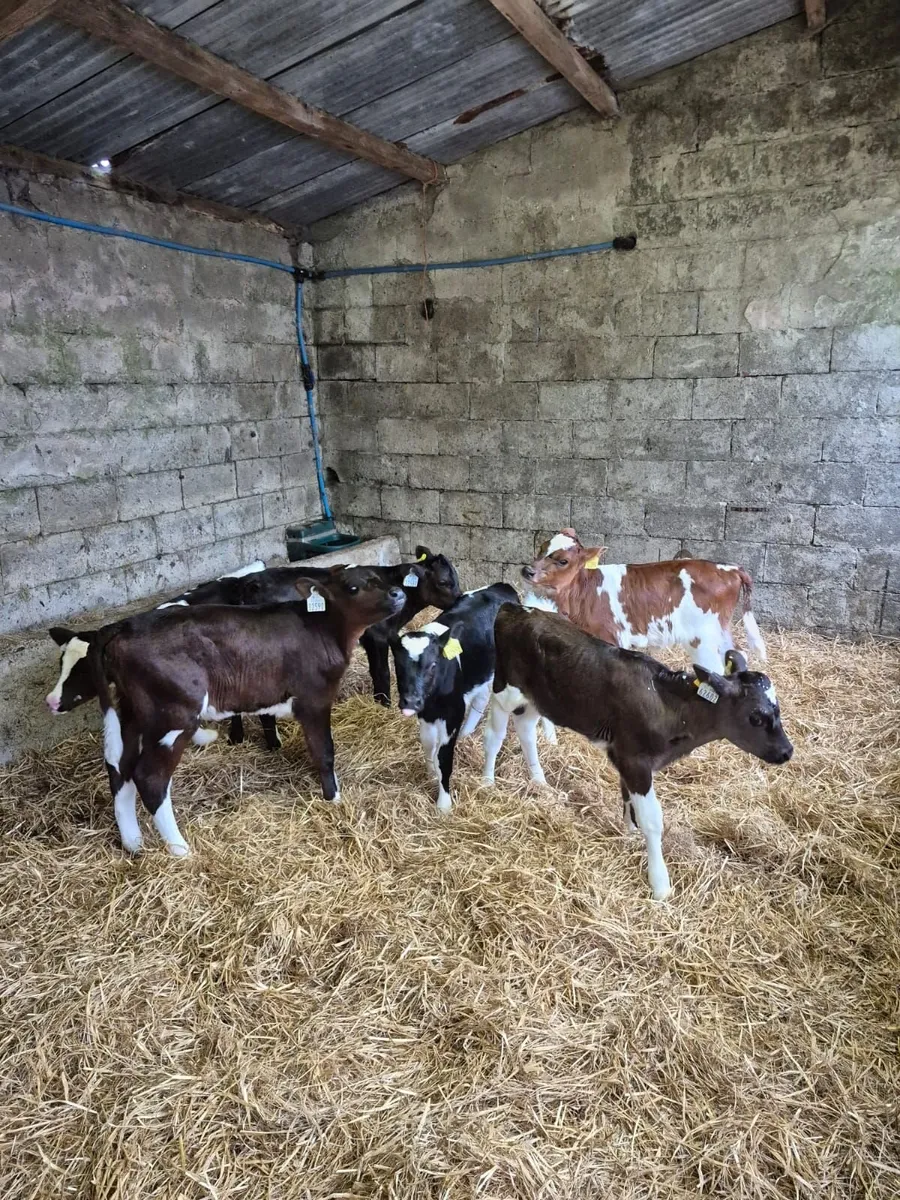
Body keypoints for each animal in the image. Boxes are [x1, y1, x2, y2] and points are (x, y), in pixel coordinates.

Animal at [65, 567, 405, 856]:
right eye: (352, 587)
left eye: (379, 578)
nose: (398, 593)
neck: (323, 628)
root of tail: (123, 624)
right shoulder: (314, 697)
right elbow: (324, 751)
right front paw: (333, 798)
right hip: (172, 713)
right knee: (149, 777)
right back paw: (180, 850)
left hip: (131, 712)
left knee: (119, 770)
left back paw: (133, 843)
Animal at [391, 584, 519, 812]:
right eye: (398, 665)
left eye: (433, 664)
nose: (410, 701)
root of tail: (503, 586)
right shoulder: (426, 714)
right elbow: (427, 743)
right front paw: (431, 773)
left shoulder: (453, 713)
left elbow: (444, 757)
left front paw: (443, 805)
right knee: (480, 699)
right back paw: (466, 733)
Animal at [484, 603, 793, 900]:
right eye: (756, 717)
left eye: (777, 708)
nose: (787, 751)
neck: (672, 709)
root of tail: (515, 608)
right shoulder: (636, 761)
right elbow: (652, 820)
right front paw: (660, 885)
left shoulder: (625, 756)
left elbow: (627, 800)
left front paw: (628, 832)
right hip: (505, 689)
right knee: (495, 734)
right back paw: (487, 781)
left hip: (539, 699)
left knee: (526, 729)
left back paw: (539, 781)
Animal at [522, 529, 766, 673]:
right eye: (541, 548)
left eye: (563, 561)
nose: (527, 570)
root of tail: (730, 568)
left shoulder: (610, 635)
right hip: (720, 631)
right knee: (737, 655)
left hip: (703, 637)